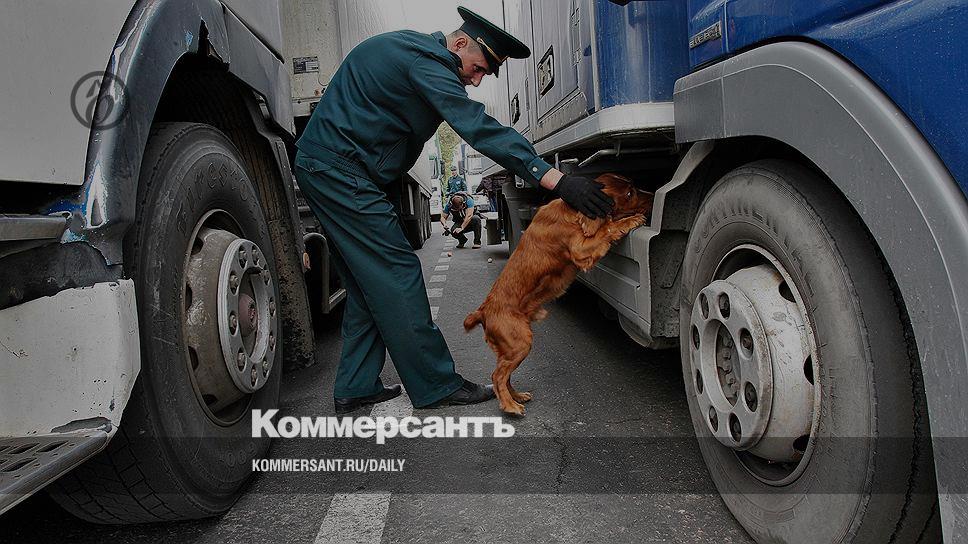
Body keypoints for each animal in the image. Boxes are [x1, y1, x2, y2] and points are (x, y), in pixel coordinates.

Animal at [463, 173, 654, 415]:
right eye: (630, 193)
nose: (654, 195)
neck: (570, 210)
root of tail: (483, 311)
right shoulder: (580, 249)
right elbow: (609, 227)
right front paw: (632, 220)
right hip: (519, 343)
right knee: (497, 375)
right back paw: (510, 406)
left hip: (509, 349)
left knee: (504, 376)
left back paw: (517, 397)